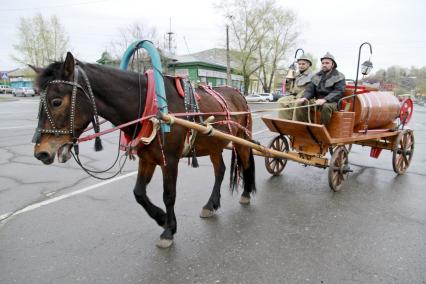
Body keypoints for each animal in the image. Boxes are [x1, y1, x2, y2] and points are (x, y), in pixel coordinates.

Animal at [31, 52, 256, 247]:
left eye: (56, 101)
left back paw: (246, 194)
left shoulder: (169, 160)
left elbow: (169, 195)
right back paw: (211, 204)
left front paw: (168, 230)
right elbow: (138, 192)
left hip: (241, 139)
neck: (152, 108)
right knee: (220, 171)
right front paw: (162, 218)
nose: (41, 152)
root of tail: (238, 93)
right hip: (214, 144)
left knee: (245, 162)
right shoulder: (147, 158)